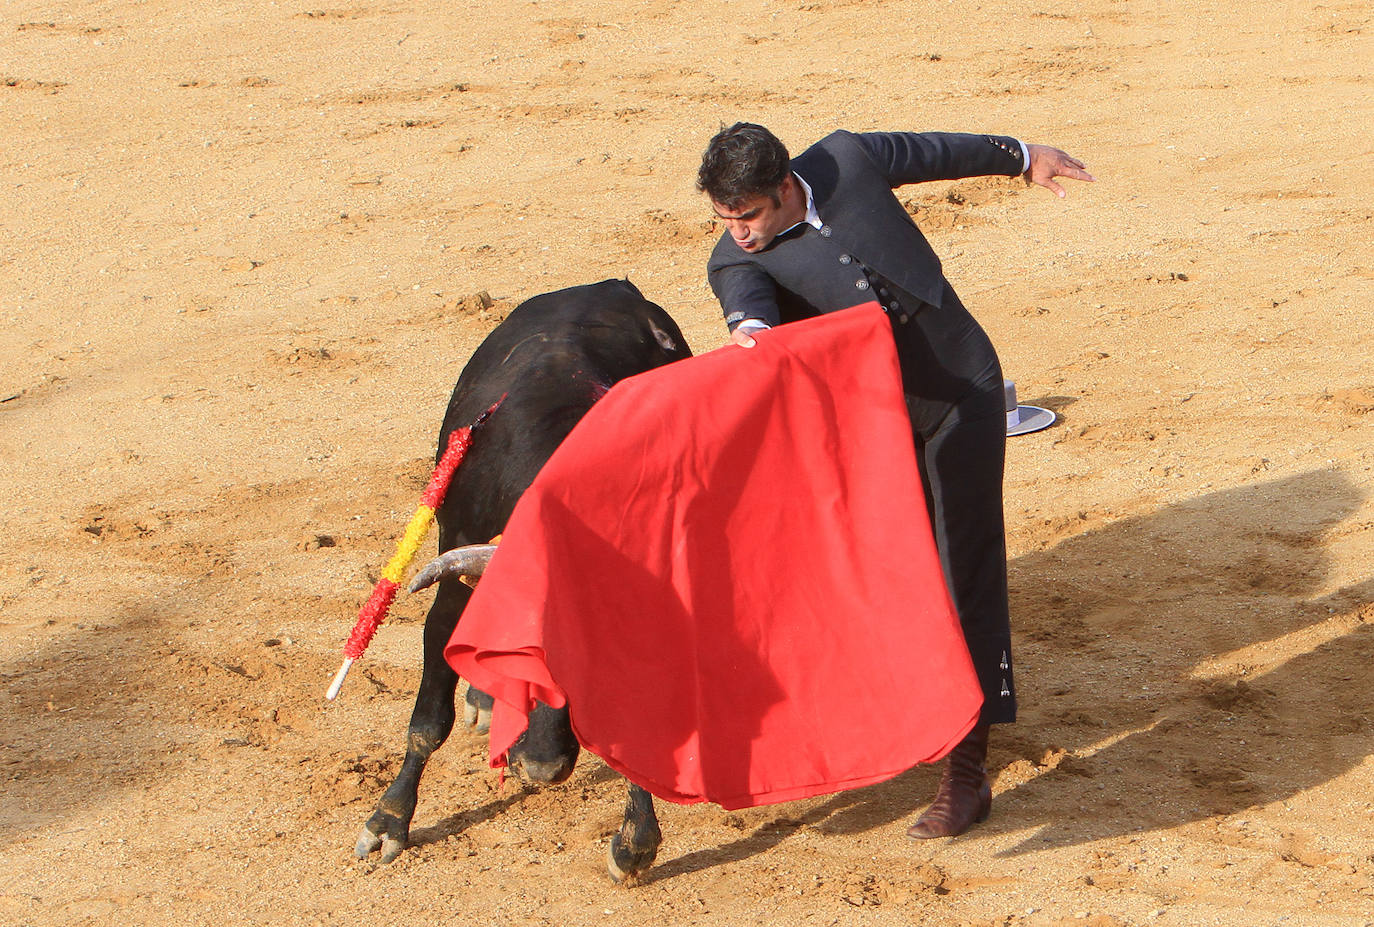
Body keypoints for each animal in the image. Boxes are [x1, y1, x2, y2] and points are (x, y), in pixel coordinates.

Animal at [357, 278, 692, 878]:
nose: (541, 770)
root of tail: (609, 284)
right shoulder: (449, 589)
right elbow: (428, 720)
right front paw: (388, 821)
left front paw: (636, 842)